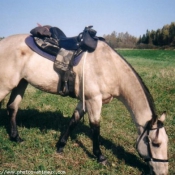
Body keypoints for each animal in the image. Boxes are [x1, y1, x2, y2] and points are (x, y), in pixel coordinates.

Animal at [0, 33, 170, 174]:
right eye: (155, 143)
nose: (163, 172)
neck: (109, 66)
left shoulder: (84, 100)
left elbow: (73, 121)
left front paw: (60, 146)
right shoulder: (94, 100)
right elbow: (95, 128)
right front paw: (100, 157)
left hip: (21, 83)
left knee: (12, 108)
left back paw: (16, 138)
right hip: (6, 85)